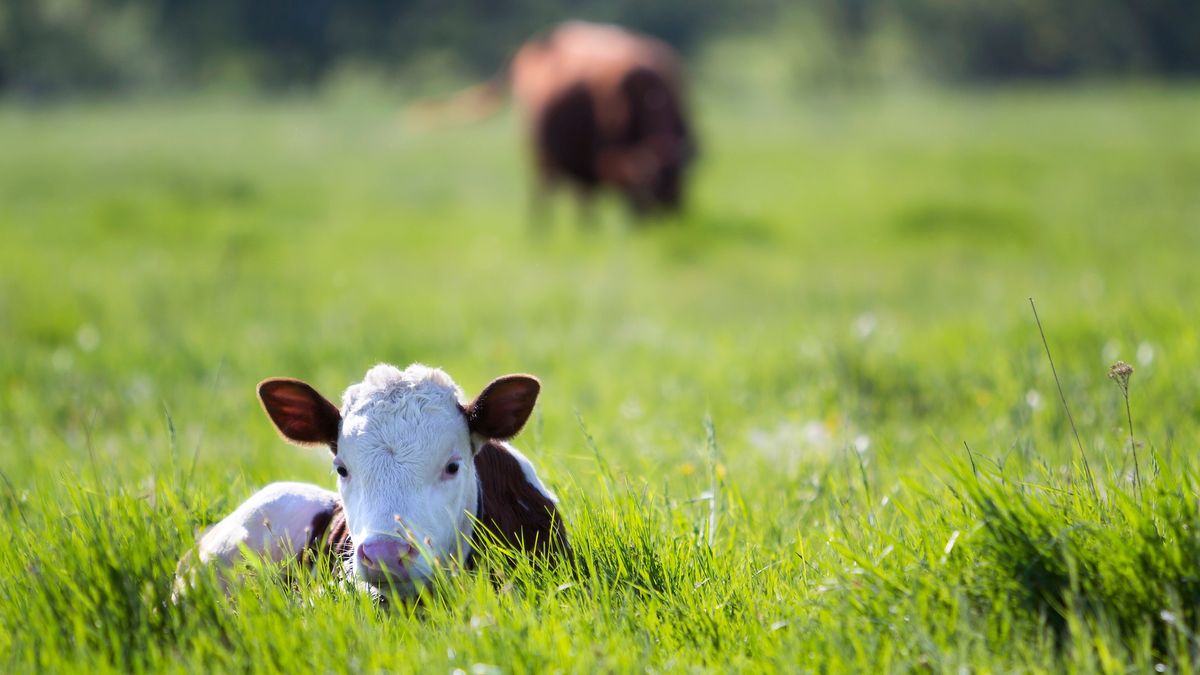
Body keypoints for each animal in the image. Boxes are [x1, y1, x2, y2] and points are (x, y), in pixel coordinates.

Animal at [412, 20, 696, 218]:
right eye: (647, 186)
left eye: (678, 182)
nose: (667, 219)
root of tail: (534, 44)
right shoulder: (589, 159)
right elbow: (585, 199)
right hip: (537, 152)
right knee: (542, 192)